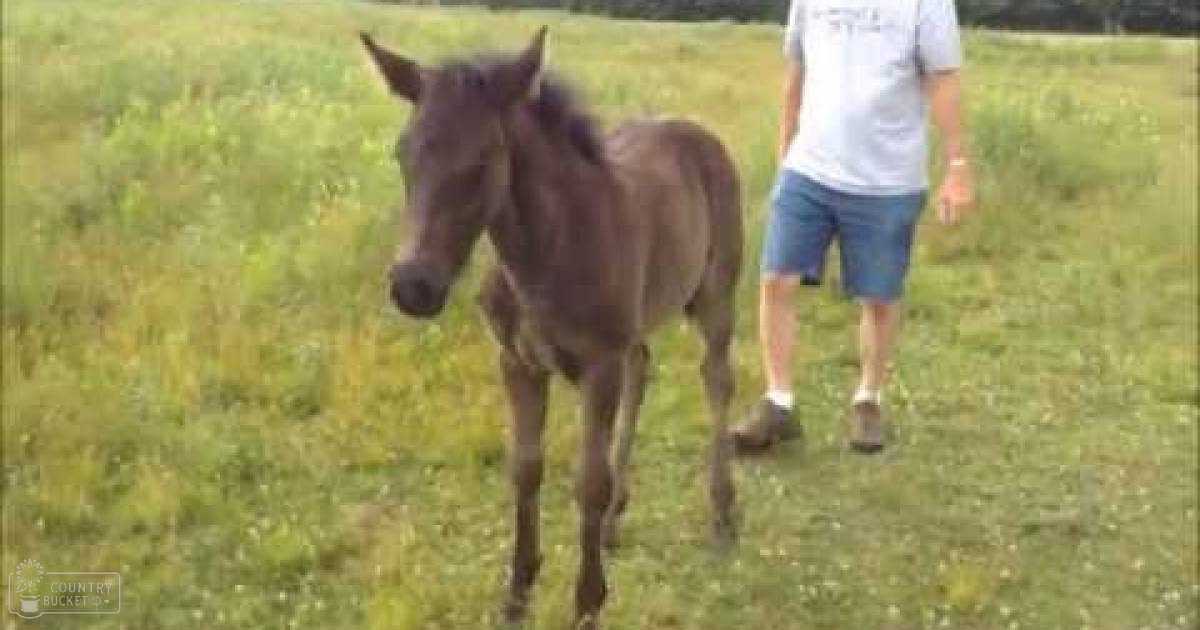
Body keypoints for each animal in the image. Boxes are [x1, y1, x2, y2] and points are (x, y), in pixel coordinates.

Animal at [361, 27, 743, 629]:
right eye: (403, 154)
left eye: (483, 159)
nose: (412, 287)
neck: (545, 253)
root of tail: (695, 130)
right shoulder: (517, 362)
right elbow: (526, 468)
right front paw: (517, 592)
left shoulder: (598, 365)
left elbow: (588, 479)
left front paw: (587, 603)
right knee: (644, 369)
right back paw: (613, 523)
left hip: (715, 295)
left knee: (717, 378)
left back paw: (723, 510)